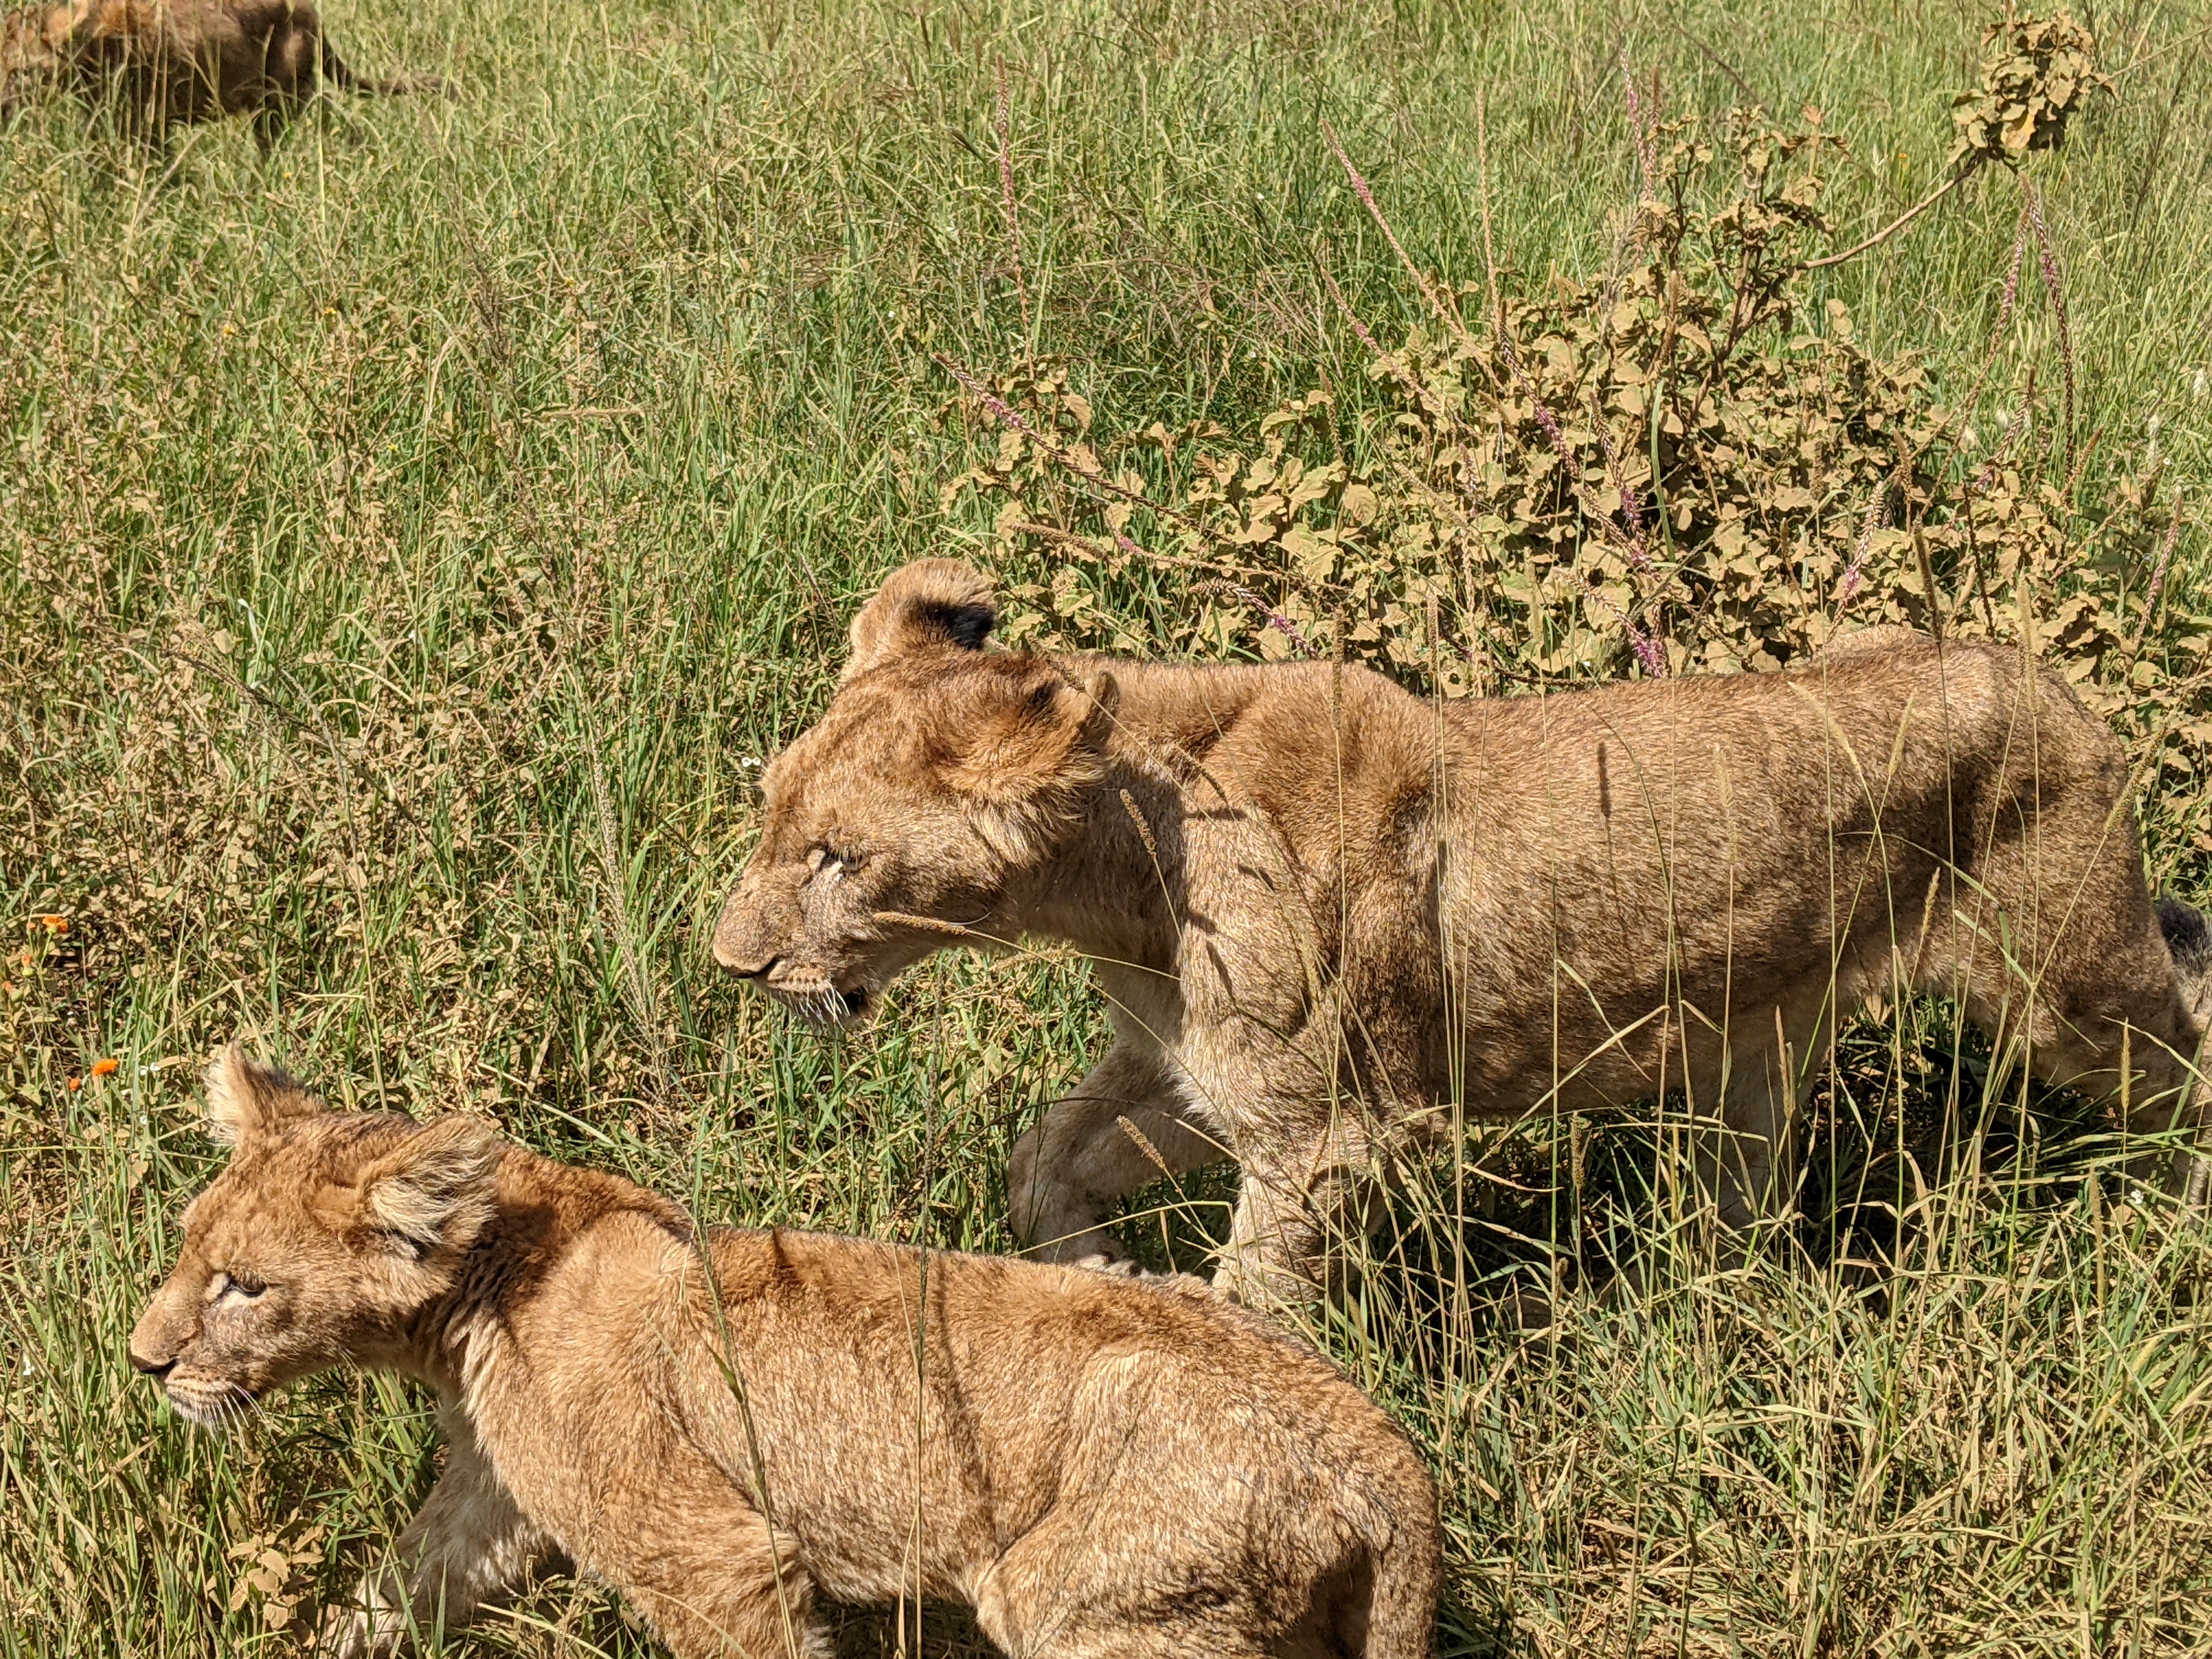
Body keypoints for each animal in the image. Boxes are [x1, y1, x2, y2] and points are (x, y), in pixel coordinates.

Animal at [128, 1046, 1442, 1659]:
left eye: (245, 1286)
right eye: (188, 1247)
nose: (144, 1363)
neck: (476, 1301)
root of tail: (1391, 1462)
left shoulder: (716, 1553)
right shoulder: (491, 1500)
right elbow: (398, 1590)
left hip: (1084, 1601)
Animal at [711, 559, 2212, 1308]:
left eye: (838, 858)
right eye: (773, 814)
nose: (733, 963)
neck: (1122, 876)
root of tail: (2060, 684)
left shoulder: (1332, 1125)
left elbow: (1254, 1296)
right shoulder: (1193, 1076)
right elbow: (1044, 1158)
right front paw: (1097, 1267)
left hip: (2073, 985)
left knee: (2185, 1043)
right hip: (1750, 1041)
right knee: (1744, 1193)